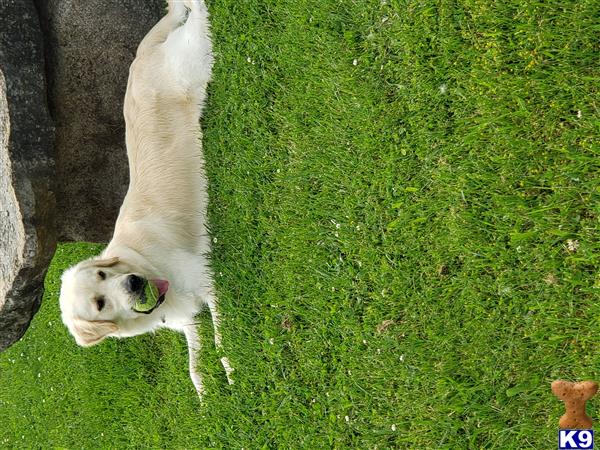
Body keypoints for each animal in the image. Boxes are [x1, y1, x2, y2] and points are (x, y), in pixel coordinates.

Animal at [58, 0, 232, 398]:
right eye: (100, 303)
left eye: (104, 273)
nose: (134, 284)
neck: (146, 263)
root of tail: (140, 54)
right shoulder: (184, 318)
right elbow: (194, 366)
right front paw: (207, 395)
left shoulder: (207, 280)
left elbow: (223, 339)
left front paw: (233, 372)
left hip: (194, 61)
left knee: (197, 15)